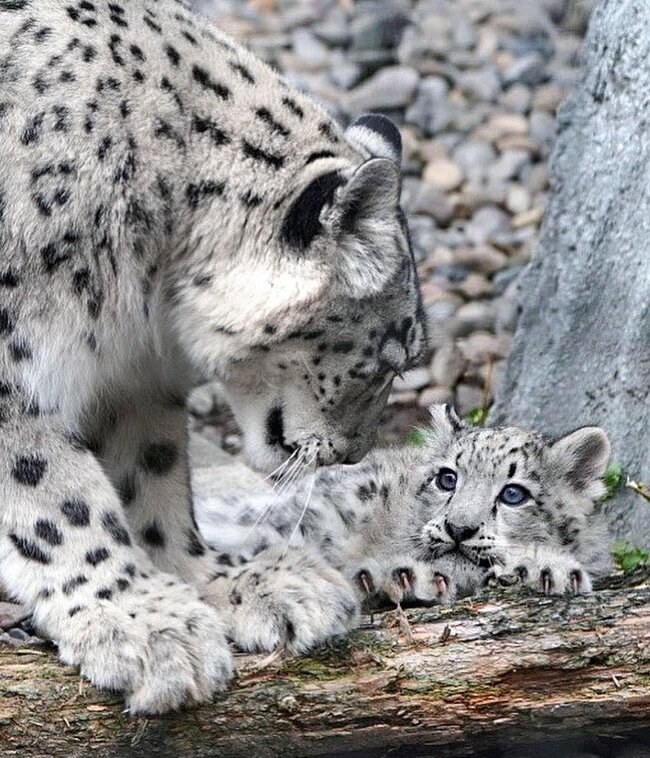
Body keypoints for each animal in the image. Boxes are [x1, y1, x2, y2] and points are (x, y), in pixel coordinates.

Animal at [0, 0, 426, 716]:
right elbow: (58, 502)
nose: (356, 452)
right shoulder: (13, 378)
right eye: (389, 358)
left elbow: (153, 480)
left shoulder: (131, 381)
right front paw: (142, 623)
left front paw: (229, 581)